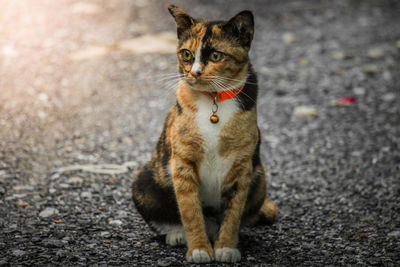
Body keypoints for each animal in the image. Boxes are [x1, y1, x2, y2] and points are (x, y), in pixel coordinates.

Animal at [133, 4, 276, 264]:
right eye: (187, 54)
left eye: (216, 56)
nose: (195, 72)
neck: (214, 101)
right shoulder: (182, 163)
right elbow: (190, 211)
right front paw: (199, 249)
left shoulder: (242, 167)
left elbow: (232, 214)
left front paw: (226, 247)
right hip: (144, 180)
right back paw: (177, 235)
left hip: (260, 178)